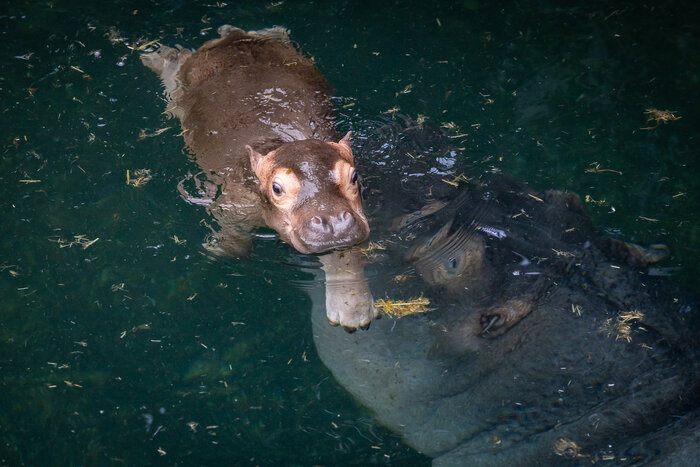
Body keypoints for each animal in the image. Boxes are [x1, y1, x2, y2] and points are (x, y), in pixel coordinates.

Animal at [141, 26, 376, 329]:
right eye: (276, 188)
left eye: (354, 176)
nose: (334, 224)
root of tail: (232, 36)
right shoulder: (234, 207)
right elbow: (235, 245)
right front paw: (215, 249)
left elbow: (346, 255)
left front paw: (354, 313)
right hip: (180, 84)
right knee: (175, 65)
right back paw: (152, 56)